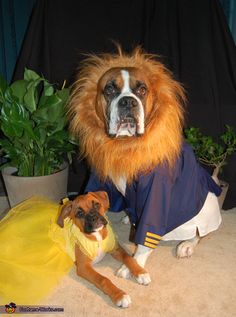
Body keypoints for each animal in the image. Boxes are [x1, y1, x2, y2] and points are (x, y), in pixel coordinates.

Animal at [68, 47, 221, 282]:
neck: (126, 145)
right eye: (109, 89)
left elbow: (144, 238)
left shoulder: (156, 193)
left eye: (141, 90)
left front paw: (134, 265)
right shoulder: (102, 175)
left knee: (200, 232)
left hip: (207, 207)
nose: (128, 102)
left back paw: (186, 244)